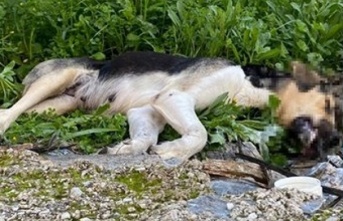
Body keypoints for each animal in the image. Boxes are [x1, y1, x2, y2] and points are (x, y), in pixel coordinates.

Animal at [0, 51, 340, 162]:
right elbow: (199, 134)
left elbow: (145, 138)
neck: (249, 85)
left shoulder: (147, 110)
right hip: (57, 77)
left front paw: (127, 148)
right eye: (328, 104)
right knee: (8, 112)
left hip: (58, 105)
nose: (334, 143)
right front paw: (172, 151)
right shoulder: (173, 98)